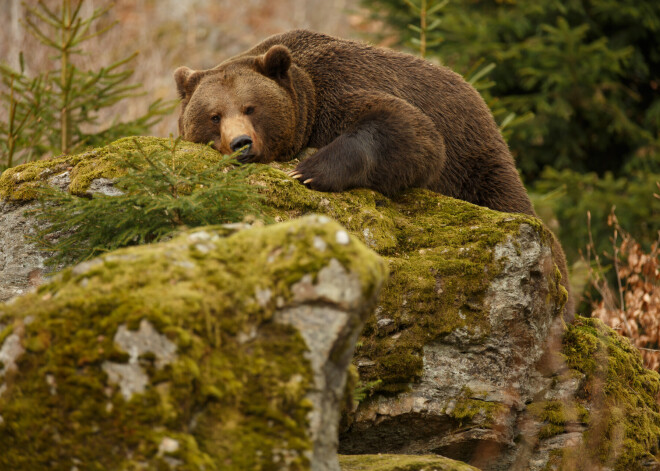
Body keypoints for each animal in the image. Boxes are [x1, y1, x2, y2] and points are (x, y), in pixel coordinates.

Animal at [175, 29, 572, 318]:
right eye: (213, 115)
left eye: (251, 107)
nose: (241, 144)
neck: (306, 105)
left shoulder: (339, 90)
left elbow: (410, 131)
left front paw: (308, 171)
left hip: (475, 159)